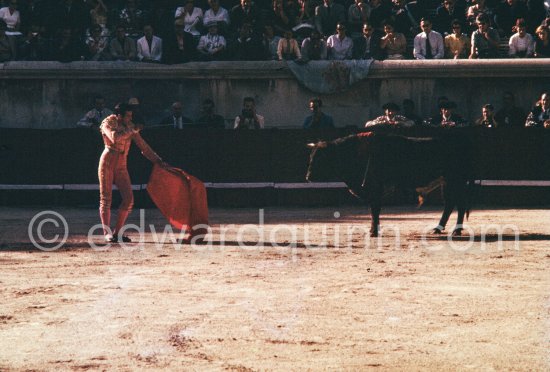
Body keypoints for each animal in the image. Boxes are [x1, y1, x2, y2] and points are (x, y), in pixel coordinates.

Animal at [306, 133, 474, 235]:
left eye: (319, 158)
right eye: (311, 156)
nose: (308, 177)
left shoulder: (375, 187)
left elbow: (374, 209)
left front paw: (374, 232)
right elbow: (374, 210)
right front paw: (373, 230)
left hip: (455, 181)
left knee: (459, 204)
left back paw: (456, 231)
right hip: (448, 183)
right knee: (450, 204)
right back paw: (438, 229)